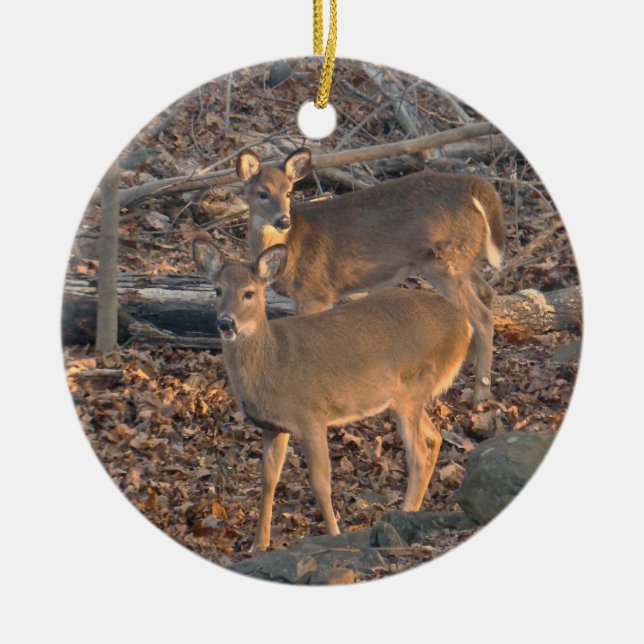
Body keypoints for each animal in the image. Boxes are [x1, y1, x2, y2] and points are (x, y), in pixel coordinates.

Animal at [193, 235, 472, 552]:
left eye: (249, 293)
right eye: (217, 290)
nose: (226, 323)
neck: (274, 362)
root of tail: (463, 326)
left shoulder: (311, 415)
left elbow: (320, 482)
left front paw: (334, 535)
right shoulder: (273, 426)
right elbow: (268, 479)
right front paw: (258, 544)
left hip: (411, 389)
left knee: (418, 454)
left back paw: (402, 515)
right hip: (408, 396)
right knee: (435, 437)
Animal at [236, 147, 504, 403]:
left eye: (288, 192)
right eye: (263, 193)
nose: (284, 221)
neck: (292, 244)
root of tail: (473, 186)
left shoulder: (315, 291)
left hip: (444, 263)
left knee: (482, 316)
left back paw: (480, 393)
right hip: (462, 259)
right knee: (487, 292)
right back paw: (469, 363)